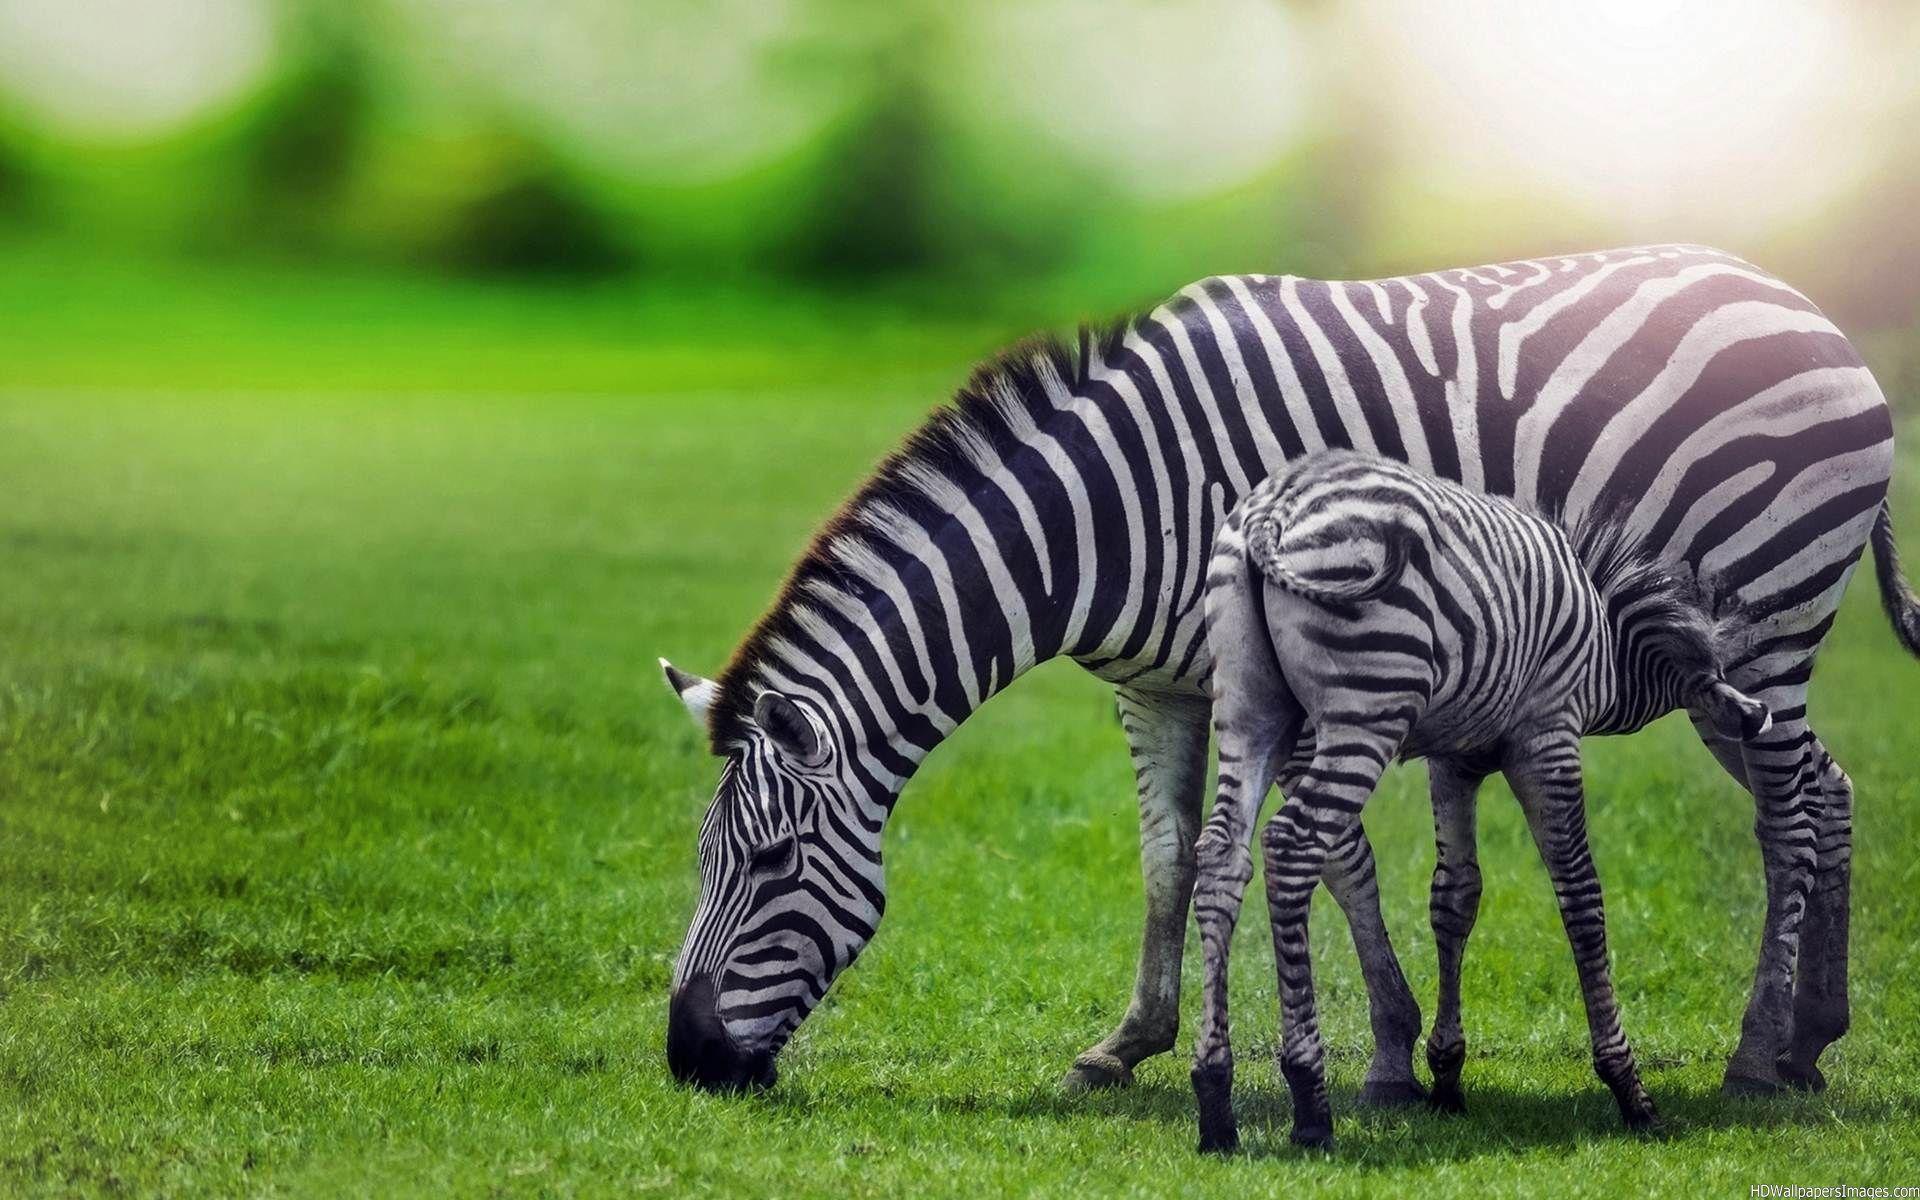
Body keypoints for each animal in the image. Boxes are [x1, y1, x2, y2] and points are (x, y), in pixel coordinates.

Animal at [1190, 450, 1773, 1152]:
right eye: (1719, 670)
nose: (1758, 716)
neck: (1605, 638)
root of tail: (1275, 508)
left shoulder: (1455, 759)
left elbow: (1455, 895)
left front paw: (1447, 1078)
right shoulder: (1548, 734)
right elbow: (1581, 895)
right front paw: (1629, 1089)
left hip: (1250, 708)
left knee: (1222, 857)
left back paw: (1215, 1102)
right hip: (1366, 708)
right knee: (1292, 845)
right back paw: (1309, 1105)